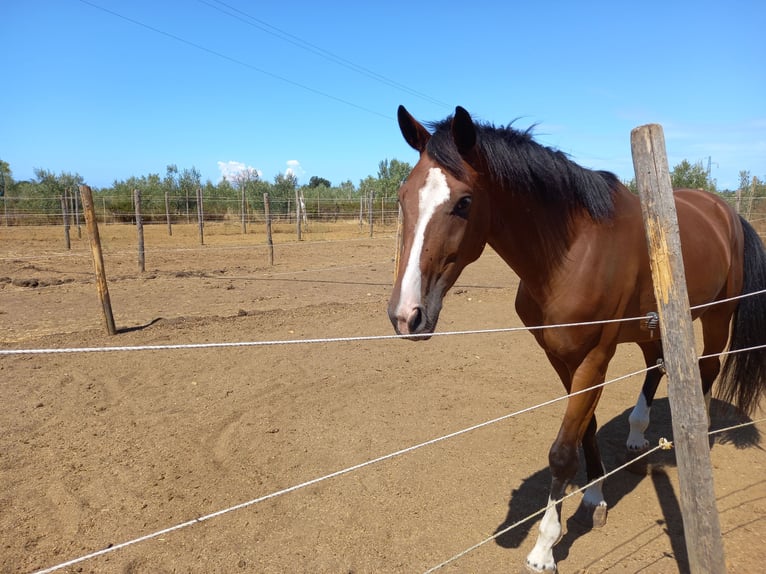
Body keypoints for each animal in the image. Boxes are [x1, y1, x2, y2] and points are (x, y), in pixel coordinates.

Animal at [390, 106, 766, 572]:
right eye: (403, 197)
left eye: (463, 202)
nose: (407, 315)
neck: (572, 252)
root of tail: (724, 211)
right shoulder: (560, 356)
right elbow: (585, 428)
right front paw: (595, 497)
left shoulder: (594, 357)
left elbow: (562, 450)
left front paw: (544, 547)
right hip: (651, 325)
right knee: (656, 365)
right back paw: (637, 435)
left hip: (716, 316)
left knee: (707, 367)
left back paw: (698, 434)